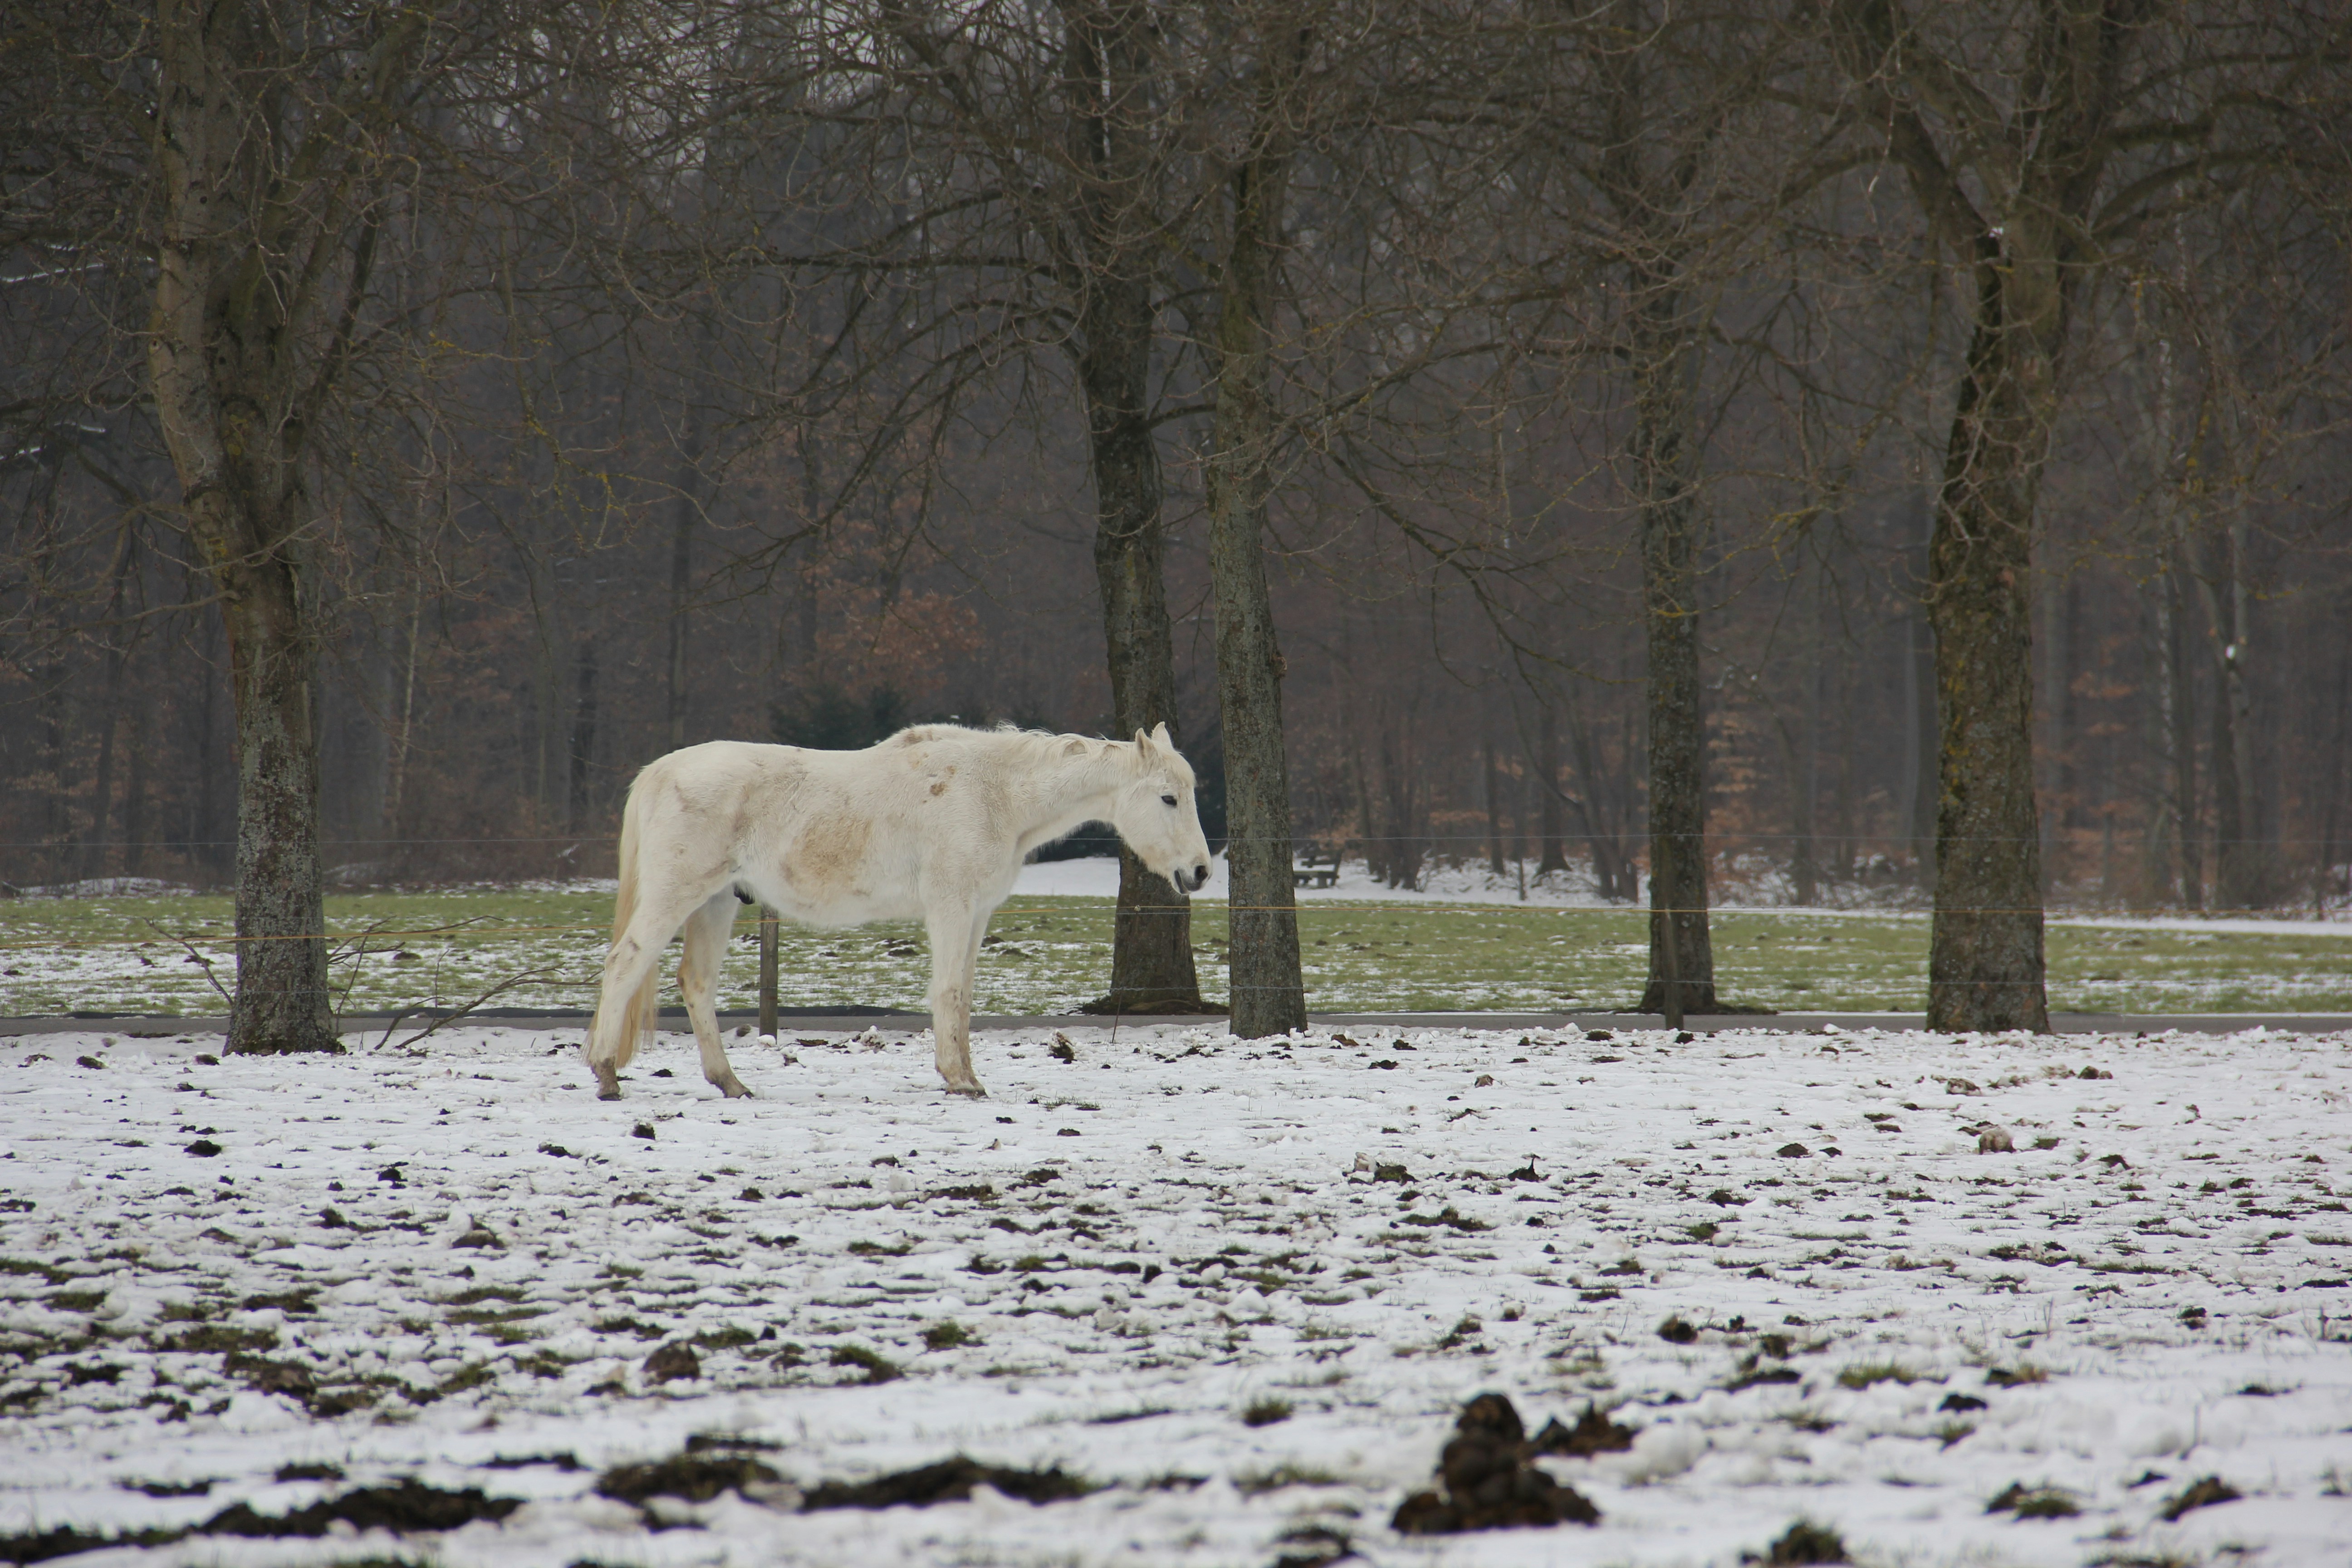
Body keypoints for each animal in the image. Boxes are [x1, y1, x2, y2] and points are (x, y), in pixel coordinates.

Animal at [583, 722, 1212, 1100]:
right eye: (1168, 798)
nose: (1201, 872)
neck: (995, 793)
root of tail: (662, 771)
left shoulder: (977, 914)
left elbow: (963, 994)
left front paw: (966, 1074)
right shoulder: (951, 907)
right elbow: (949, 992)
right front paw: (959, 1081)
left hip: (715, 904)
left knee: (696, 983)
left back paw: (729, 1082)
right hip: (676, 896)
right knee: (625, 964)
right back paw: (607, 1072)